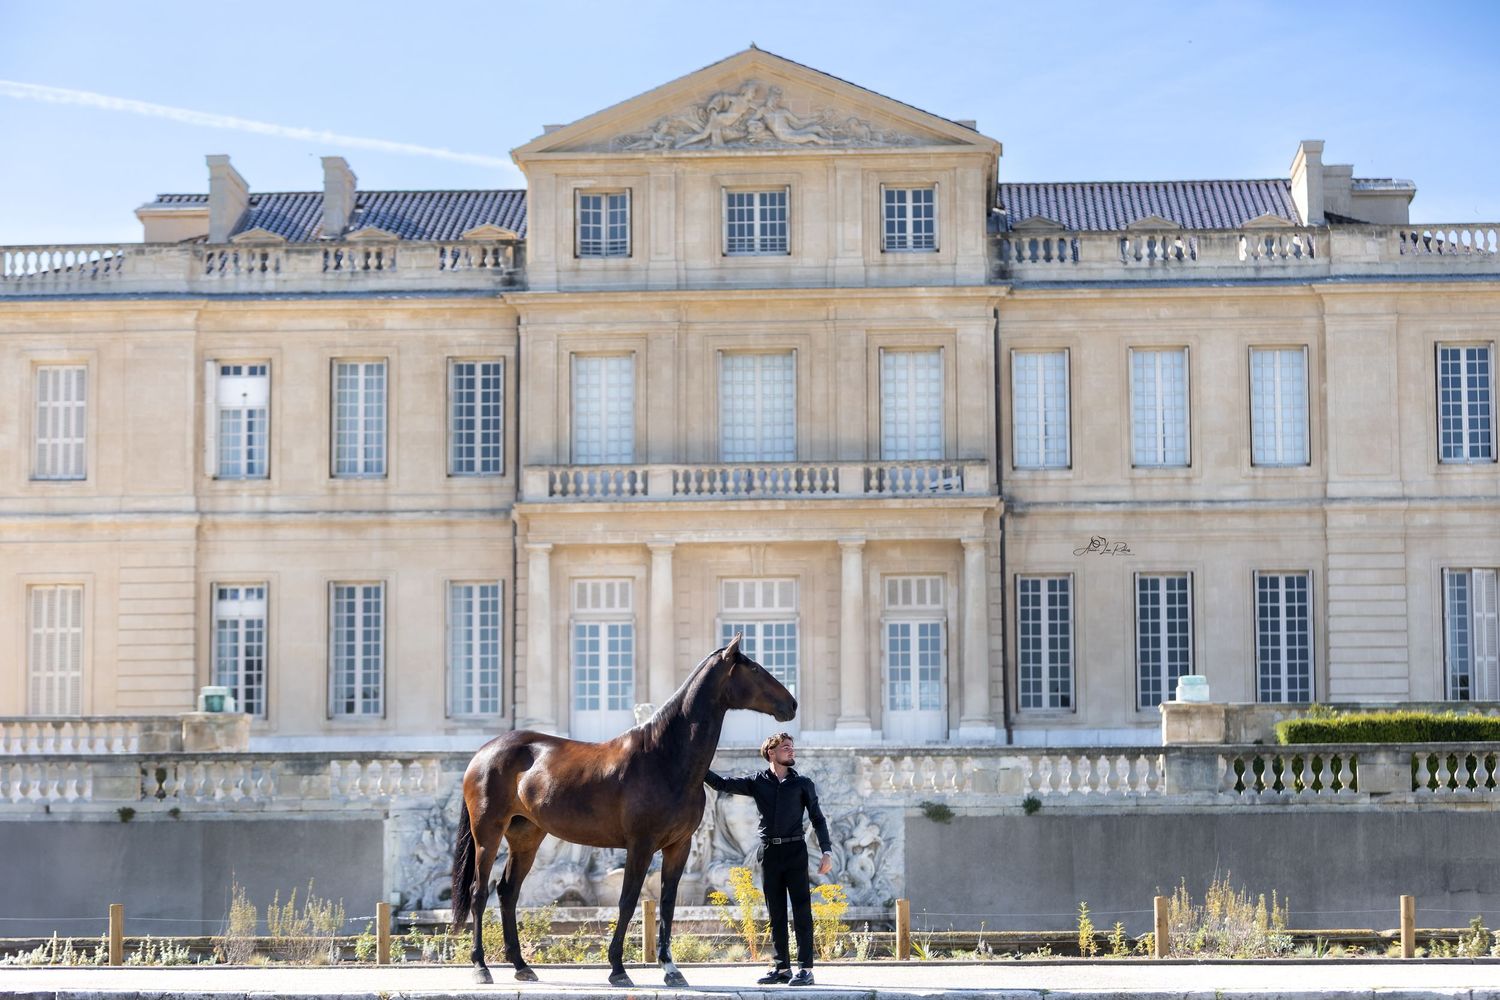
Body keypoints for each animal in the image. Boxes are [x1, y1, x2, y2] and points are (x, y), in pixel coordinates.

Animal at [450, 633, 796, 987]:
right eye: (754, 669)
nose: (792, 704)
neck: (664, 757)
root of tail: (483, 752)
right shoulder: (640, 845)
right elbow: (627, 901)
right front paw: (618, 968)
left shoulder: (678, 846)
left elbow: (667, 903)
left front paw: (671, 969)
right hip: (488, 834)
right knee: (479, 892)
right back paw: (481, 967)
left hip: (526, 837)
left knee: (508, 892)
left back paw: (521, 966)